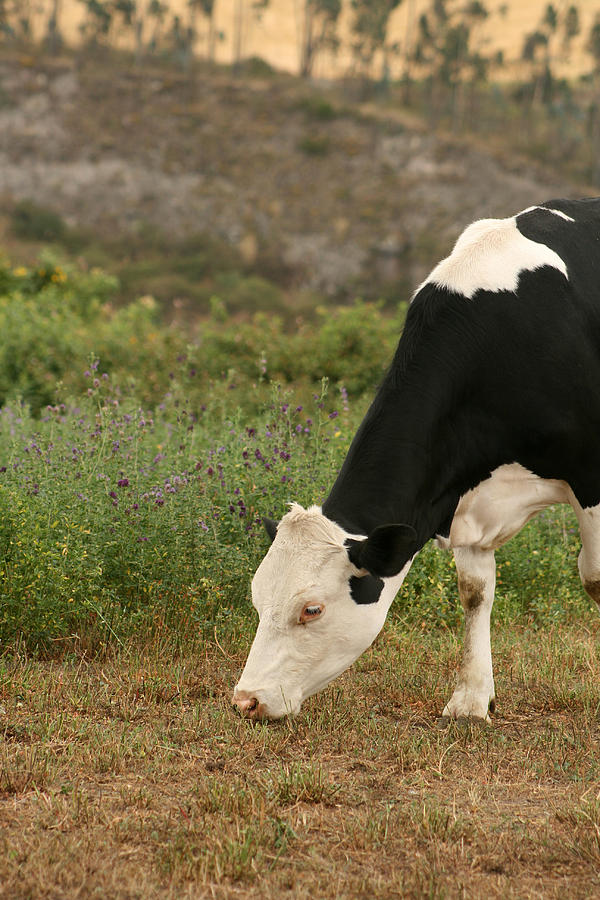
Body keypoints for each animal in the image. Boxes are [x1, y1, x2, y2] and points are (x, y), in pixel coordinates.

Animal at [232, 199, 600, 724]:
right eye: (258, 598)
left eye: (311, 609)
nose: (247, 699)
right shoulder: (464, 493)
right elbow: (475, 590)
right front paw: (470, 701)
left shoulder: (590, 475)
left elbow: (594, 579)